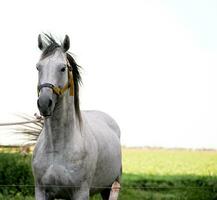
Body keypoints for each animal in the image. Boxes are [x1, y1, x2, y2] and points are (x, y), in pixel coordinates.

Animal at [31, 34, 122, 200]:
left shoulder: (80, 192)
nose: (44, 103)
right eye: (38, 67)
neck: (57, 148)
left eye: (62, 68)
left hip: (112, 186)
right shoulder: (41, 191)